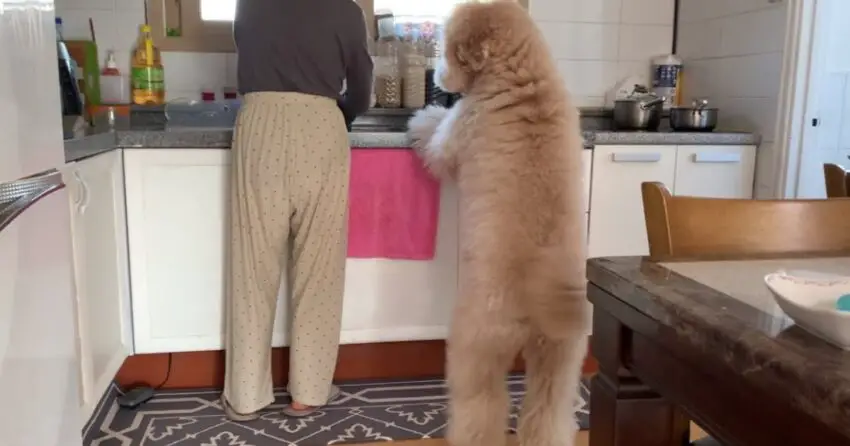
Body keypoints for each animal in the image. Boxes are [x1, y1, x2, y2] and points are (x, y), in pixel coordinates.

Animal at [406, 0, 588, 446]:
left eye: (449, 50)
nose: (438, 76)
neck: (522, 74)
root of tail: (544, 294)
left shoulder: (457, 129)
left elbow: (434, 137)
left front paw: (423, 117)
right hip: (560, 358)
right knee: (546, 412)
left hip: (476, 346)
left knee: (481, 407)